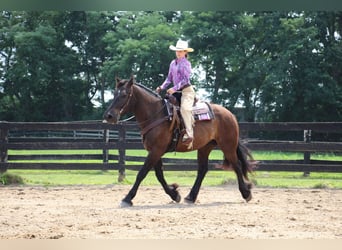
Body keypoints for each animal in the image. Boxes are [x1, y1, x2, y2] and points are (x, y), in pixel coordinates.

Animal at [103, 76, 255, 207]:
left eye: (124, 95)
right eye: (114, 94)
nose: (109, 116)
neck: (156, 114)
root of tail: (230, 114)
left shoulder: (156, 151)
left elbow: (142, 173)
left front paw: (127, 198)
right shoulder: (155, 151)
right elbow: (159, 175)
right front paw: (174, 194)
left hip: (228, 146)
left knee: (236, 165)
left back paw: (246, 193)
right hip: (205, 147)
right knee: (203, 170)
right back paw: (191, 197)